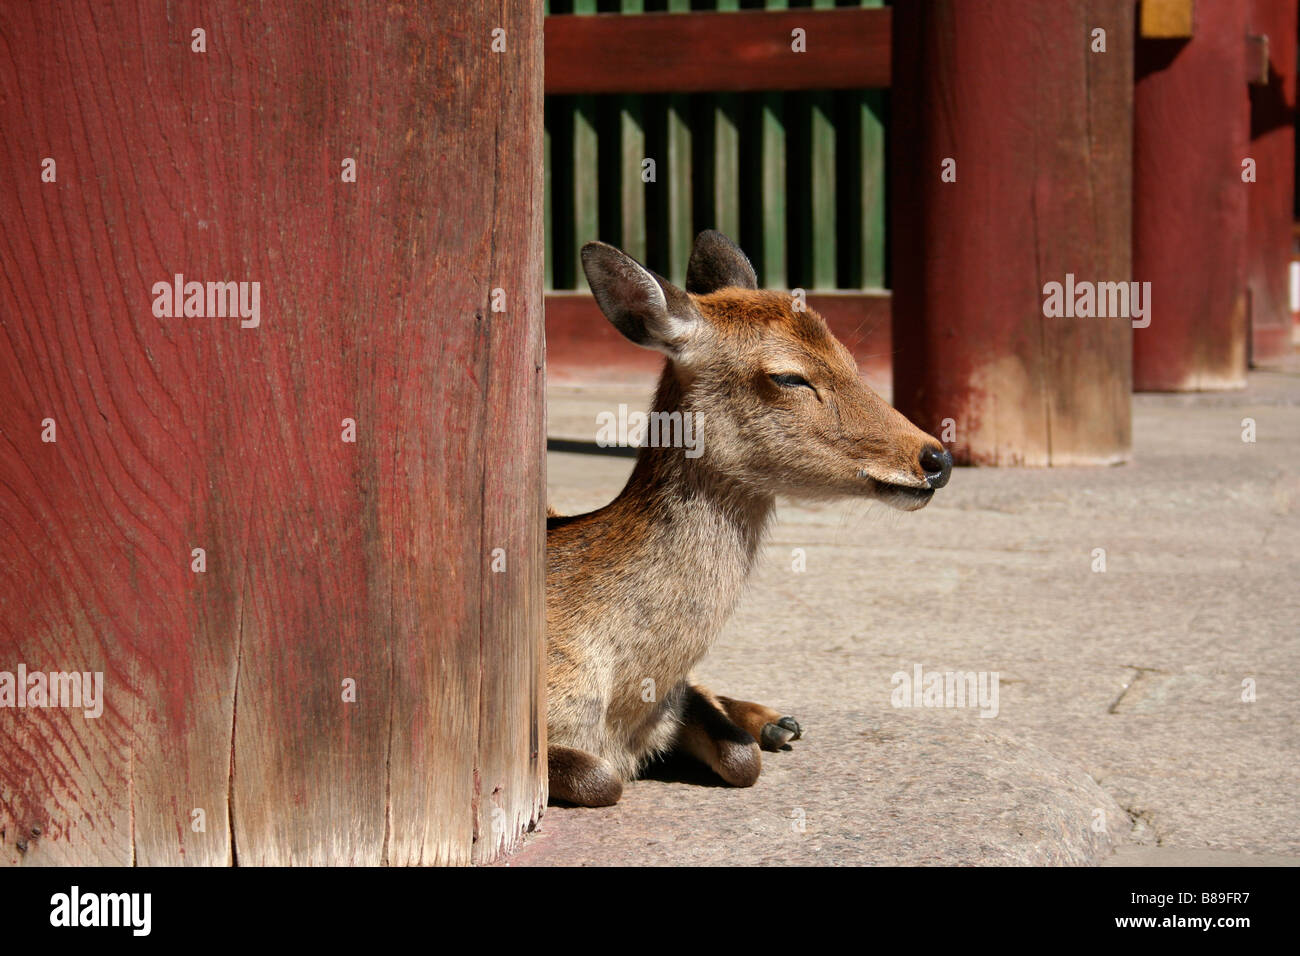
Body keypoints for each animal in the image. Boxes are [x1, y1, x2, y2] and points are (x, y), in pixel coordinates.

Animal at [543, 231, 951, 806]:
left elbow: (740, 759)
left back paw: (776, 721)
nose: (936, 458)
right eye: (788, 376)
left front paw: (754, 730)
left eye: (850, 359)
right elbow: (602, 779)